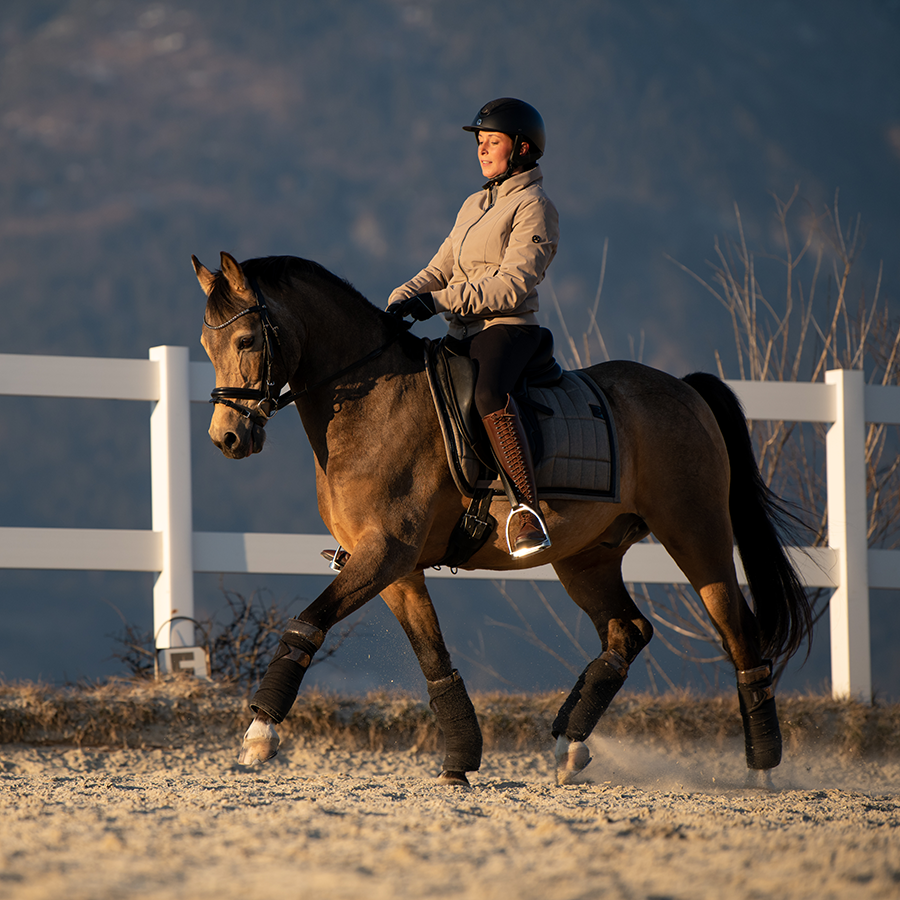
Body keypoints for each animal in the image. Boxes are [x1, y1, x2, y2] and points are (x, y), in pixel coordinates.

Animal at [193, 250, 812, 784]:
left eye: (246, 339)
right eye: (205, 343)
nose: (226, 438)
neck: (374, 406)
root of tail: (683, 388)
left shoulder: (386, 552)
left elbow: (308, 622)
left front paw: (258, 734)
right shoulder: (395, 568)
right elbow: (432, 657)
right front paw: (460, 762)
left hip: (696, 534)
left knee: (739, 633)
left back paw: (762, 772)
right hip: (587, 558)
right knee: (628, 631)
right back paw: (570, 746)